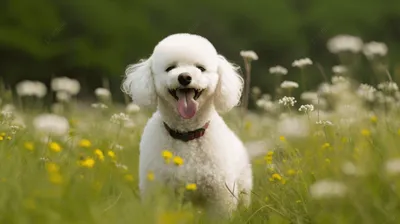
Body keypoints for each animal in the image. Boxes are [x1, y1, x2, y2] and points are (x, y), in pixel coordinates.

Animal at [122, 32, 253, 215]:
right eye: (170, 68)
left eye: (200, 68)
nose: (184, 77)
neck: (187, 135)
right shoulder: (158, 189)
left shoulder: (220, 195)